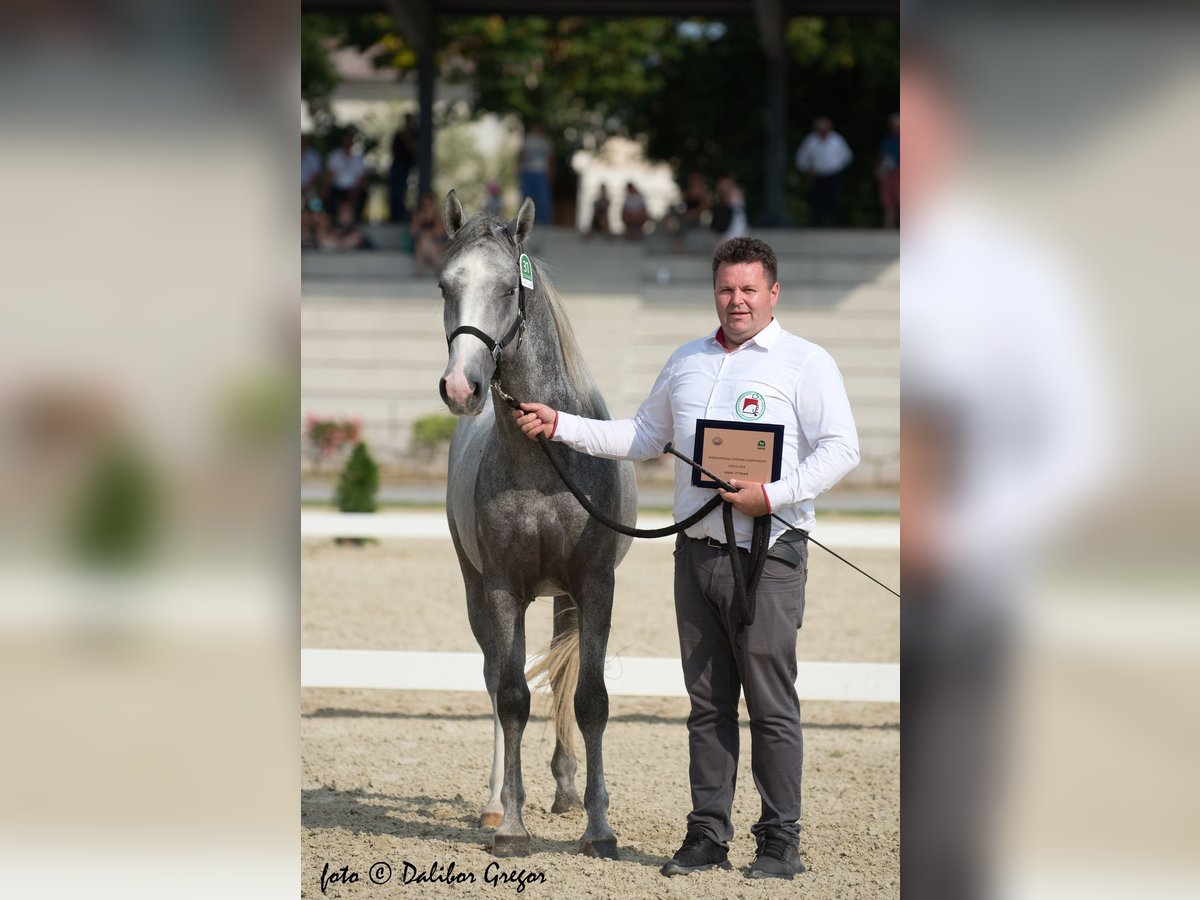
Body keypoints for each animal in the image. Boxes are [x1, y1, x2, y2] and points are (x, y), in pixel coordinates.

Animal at [434, 192, 638, 859]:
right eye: (445, 285)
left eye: (506, 287)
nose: (461, 387)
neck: (544, 464)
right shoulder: (501, 589)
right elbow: (512, 697)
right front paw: (514, 828)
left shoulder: (595, 585)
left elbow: (591, 698)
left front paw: (599, 828)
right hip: (480, 593)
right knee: (497, 681)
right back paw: (497, 804)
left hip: (564, 598)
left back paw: (568, 791)